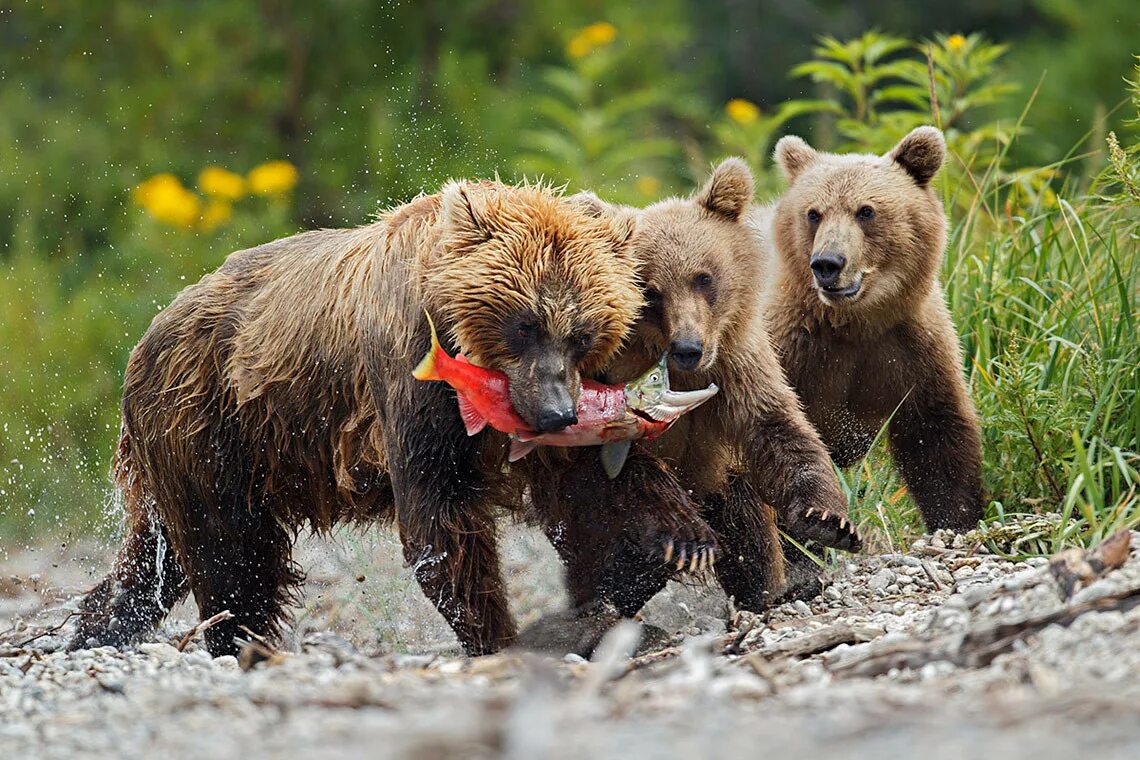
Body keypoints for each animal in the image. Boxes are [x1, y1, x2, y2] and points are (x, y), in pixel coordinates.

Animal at [68, 180, 711, 660]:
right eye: (524, 323)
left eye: (582, 333)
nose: (555, 412)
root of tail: (149, 332)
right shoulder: (410, 377)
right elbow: (440, 516)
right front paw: (498, 634)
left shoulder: (548, 413)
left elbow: (598, 474)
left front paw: (681, 541)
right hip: (212, 418)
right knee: (229, 549)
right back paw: (236, 640)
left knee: (158, 555)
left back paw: (95, 626)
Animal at [752, 126, 984, 535]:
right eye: (813, 213)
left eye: (866, 211)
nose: (827, 263)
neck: (855, 322)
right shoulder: (791, 348)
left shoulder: (912, 348)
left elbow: (939, 436)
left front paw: (957, 521)